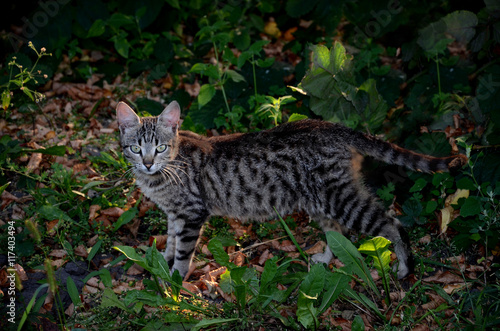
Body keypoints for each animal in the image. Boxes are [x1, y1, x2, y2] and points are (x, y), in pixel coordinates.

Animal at [115, 100, 466, 280]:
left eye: (161, 147)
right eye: (135, 148)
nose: (148, 163)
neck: (163, 174)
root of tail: (329, 126)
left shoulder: (190, 212)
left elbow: (184, 250)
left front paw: (175, 281)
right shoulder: (175, 214)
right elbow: (172, 241)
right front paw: (161, 263)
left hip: (339, 198)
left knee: (392, 223)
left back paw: (406, 266)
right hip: (320, 201)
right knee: (337, 231)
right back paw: (325, 258)